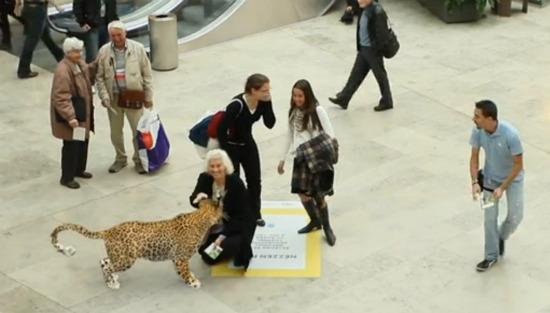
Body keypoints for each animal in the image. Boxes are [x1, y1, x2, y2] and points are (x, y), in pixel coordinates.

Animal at [50, 199, 223, 288]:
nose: (225, 216)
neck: (202, 217)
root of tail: (109, 230)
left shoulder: (177, 258)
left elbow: (185, 271)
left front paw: (191, 277)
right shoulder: (180, 258)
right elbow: (185, 272)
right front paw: (193, 282)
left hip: (119, 256)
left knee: (104, 261)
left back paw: (112, 278)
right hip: (126, 259)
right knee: (107, 266)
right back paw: (111, 283)